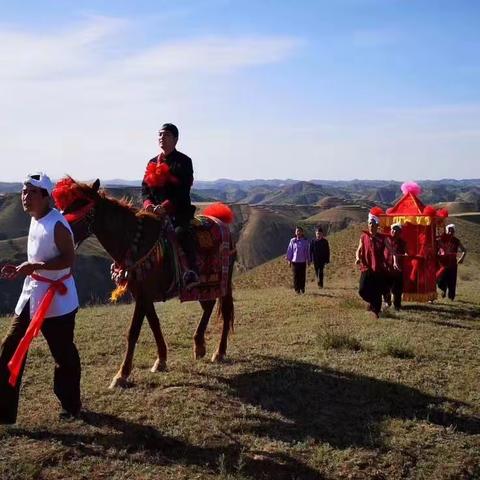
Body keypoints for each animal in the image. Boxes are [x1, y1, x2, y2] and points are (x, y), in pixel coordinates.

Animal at [52, 178, 234, 388]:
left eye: (81, 206)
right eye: (66, 206)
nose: (61, 231)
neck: (133, 241)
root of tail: (223, 223)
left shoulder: (143, 295)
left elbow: (133, 332)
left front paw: (121, 375)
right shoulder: (142, 295)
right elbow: (154, 324)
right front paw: (161, 360)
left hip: (223, 284)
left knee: (225, 312)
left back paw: (219, 352)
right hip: (200, 288)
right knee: (209, 305)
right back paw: (199, 346)